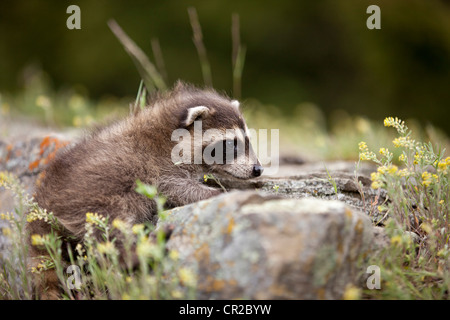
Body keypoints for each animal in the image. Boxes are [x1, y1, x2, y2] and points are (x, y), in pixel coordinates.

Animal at [28, 81, 264, 298]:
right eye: (231, 143)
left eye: (247, 140)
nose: (258, 169)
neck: (167, 135)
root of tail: (41, 214)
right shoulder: (158, 170)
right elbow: (179, 189)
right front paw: (219, 193)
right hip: (93, 200)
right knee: (111, 231)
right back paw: (135, 253)